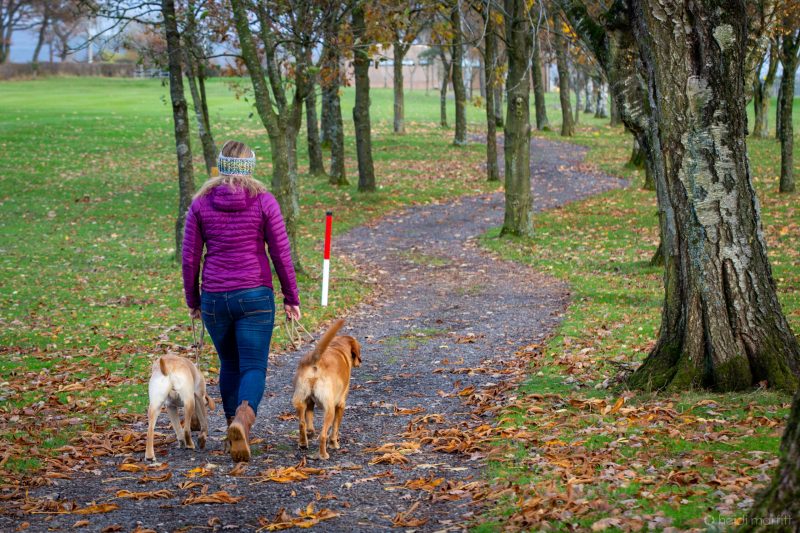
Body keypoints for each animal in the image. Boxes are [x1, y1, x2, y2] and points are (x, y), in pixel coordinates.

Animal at [294, 318, 362, 460]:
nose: (360, 362)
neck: (338, 347)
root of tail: (316, 361)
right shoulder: (340, 405)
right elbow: (335, 429)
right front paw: (334, 444)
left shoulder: (310, 402)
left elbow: (309, 420)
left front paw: (310, 433)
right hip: (329, 410)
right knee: (323, 434)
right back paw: (323, 454)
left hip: (300, 402)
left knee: (302, 423)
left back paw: (303, 443)